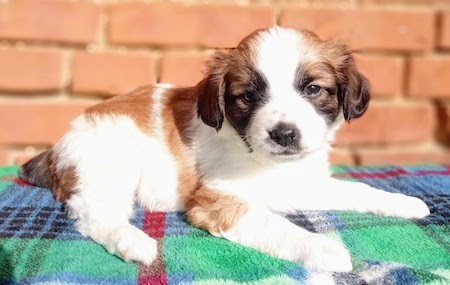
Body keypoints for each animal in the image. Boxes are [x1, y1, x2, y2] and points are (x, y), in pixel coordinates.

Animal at [19, 26, 430, 270]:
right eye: (248, 96)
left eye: (313, 89)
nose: (284, 134)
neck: (266, 162)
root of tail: (58, 147)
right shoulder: (220, 201)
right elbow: (277, 226)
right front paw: (326, 250)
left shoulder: (305, 181)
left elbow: (357, 189)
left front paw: (403, 202)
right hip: (108, 167)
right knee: (93, 214)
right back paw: (135, 242)